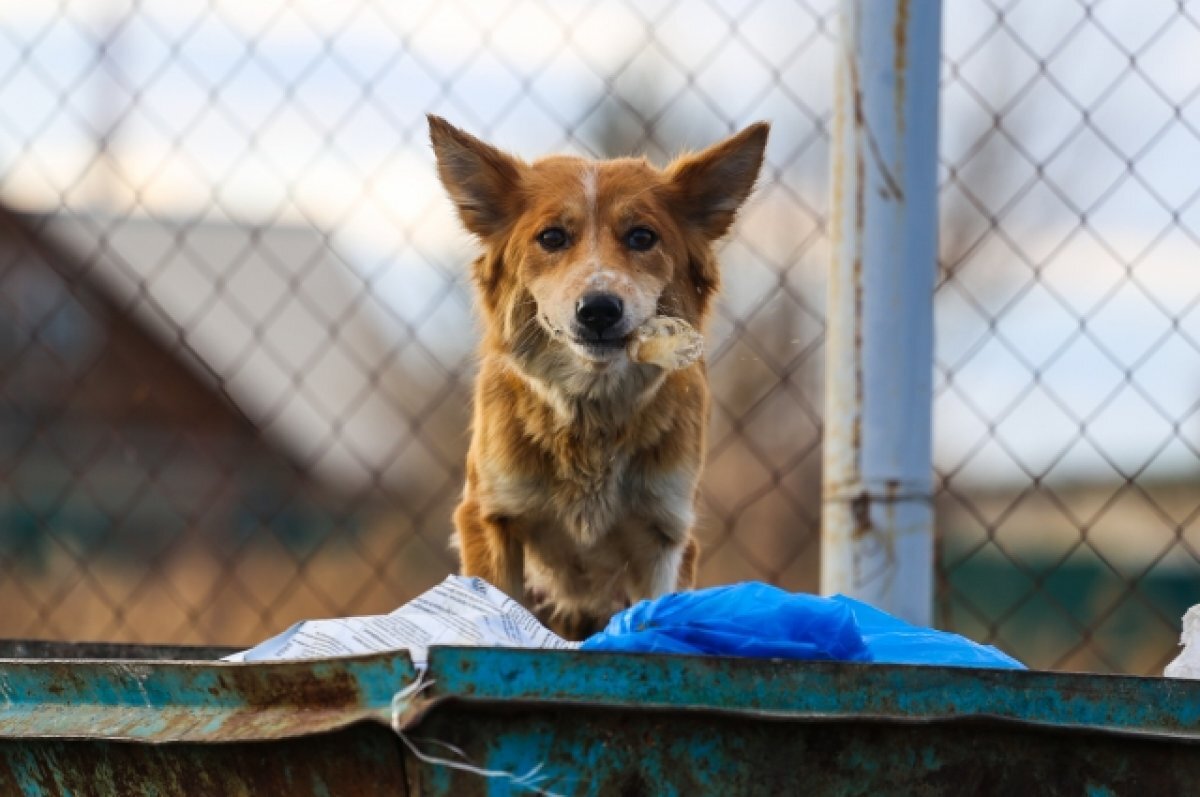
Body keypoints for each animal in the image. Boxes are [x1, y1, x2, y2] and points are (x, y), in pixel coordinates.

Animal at [432, 113, 768, 643]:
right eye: (552, 238)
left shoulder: (666, 534)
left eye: (642, 237)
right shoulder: (490, 518)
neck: (589, 415)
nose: (599, 310)